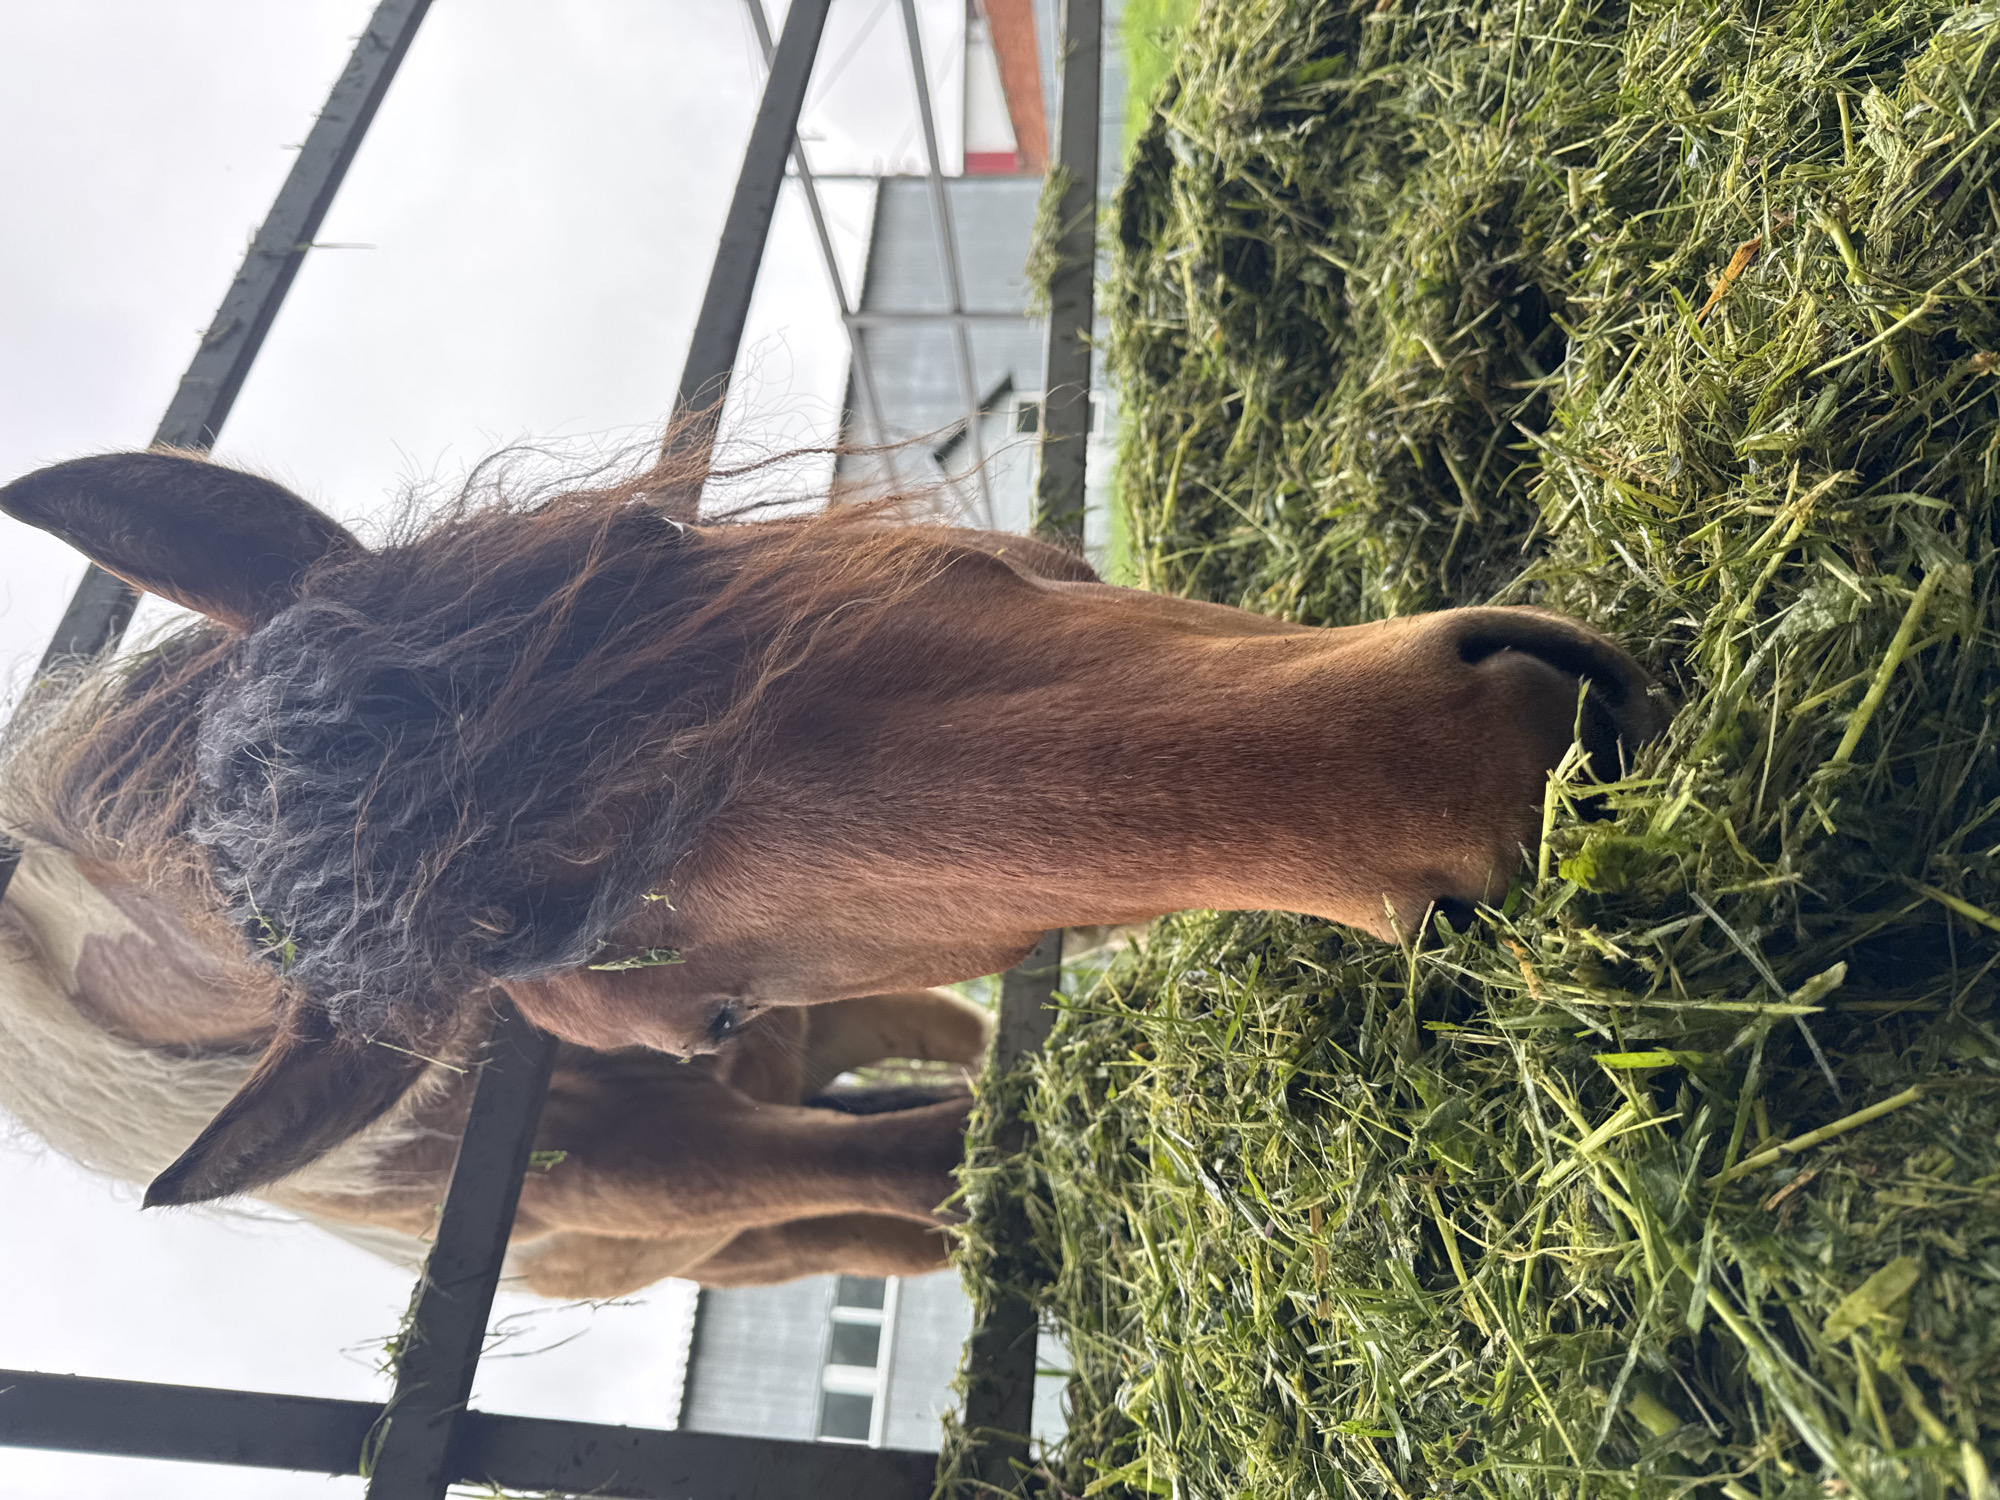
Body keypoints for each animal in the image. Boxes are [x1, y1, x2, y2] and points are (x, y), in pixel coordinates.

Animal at [0, 447, 1663, 1291]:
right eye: (703, 1013)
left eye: (650, 546)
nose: (1479, 765)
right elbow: (945, 1172)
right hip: (756, 1229)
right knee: (900, 1208)